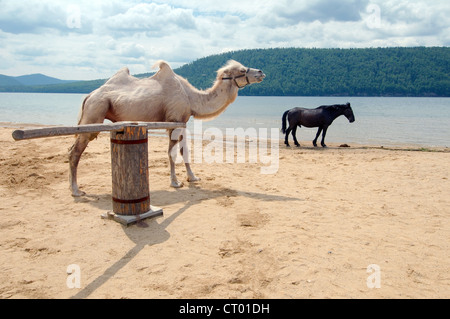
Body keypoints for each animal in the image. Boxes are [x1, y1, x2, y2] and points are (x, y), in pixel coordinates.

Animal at [68, 58, 266, 196]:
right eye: (242, 69)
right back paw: (76, 191)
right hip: (96, 110)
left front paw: (192, 177)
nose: (261, 71)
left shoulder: (182, 122)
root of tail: (88, 96)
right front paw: (175, 182)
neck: (191, 98)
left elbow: (185, 151)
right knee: (75, 151)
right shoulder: (173, 121)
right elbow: (172, 153)